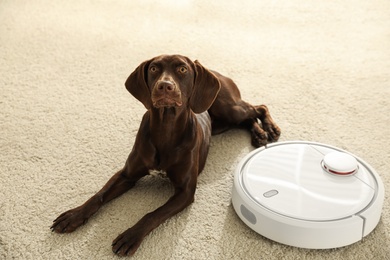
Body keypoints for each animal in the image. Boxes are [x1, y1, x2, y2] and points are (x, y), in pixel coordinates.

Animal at [51, 54, 280, 256]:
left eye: (182, 69)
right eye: (154, 69)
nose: (165, 86)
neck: (165, 129)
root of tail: (215, 72)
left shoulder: (185, 192)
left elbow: (153, 214)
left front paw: (131, 236)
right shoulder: (126, 175)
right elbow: (99, 195)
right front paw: (74, 215)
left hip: (228, 107)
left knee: (259, 107)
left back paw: (269, 129)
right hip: (223, 122)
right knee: (247, 118)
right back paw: (259, 134)